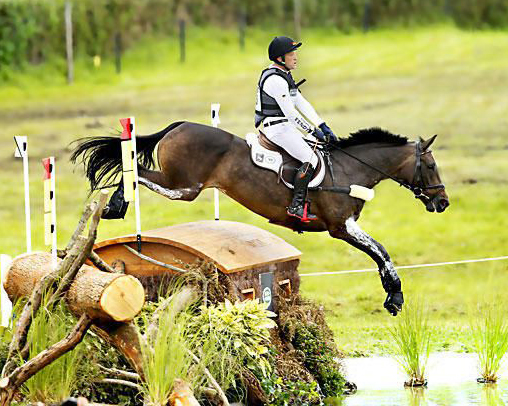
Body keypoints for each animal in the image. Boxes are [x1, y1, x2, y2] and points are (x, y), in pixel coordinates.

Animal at [71, 122, 448, 316]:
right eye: (430, 165)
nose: (443, 202)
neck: (349, 170)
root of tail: (180, 126)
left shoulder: (345, 227)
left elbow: (379, 253)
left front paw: (393, 295)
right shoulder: (340, 227)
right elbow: (380, 251)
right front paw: (394, 296)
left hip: (183, 185)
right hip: (185, 186)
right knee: (137, 173)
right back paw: (116, 204)